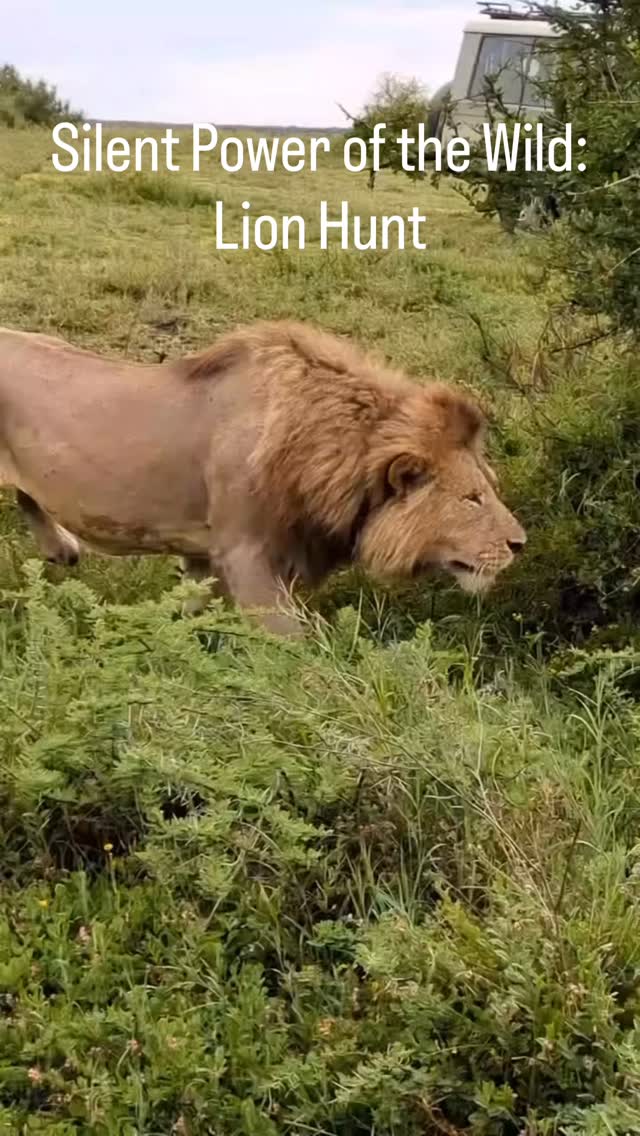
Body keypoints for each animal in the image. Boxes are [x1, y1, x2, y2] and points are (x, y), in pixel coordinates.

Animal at [0, 320, 525, 635]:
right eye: (473, 499)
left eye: (489, 489)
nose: (520, 545)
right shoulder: (246, 554)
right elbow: (295, 649)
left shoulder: (205, 554)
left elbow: (191, 608)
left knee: (28, 497)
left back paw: (62, 548)